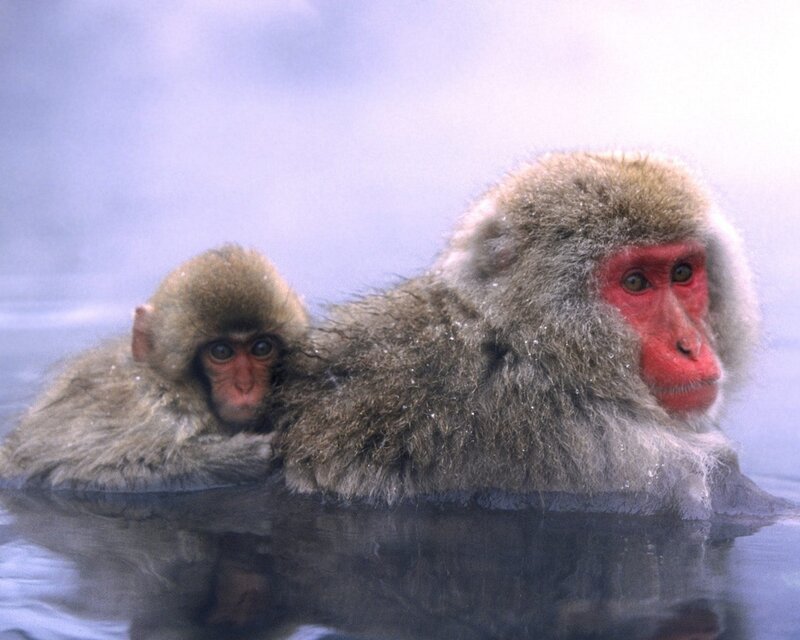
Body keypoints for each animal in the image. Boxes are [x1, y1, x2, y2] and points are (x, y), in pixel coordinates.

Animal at [0, 244, 308, 491]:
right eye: (221, 352)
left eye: (261, 348)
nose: (244, 386)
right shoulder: (156, 412)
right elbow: (73, 472)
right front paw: (235, 458)